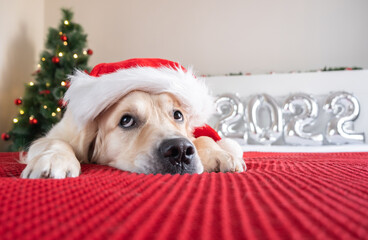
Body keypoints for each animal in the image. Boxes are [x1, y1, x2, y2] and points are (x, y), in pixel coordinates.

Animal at [20, 58, 247, 178]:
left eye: (178, 115)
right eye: (126, 120)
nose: (181, 150)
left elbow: (203, 138)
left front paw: (219, 154)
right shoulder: (61, 133)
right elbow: (55, 141)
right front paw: (55, 159)